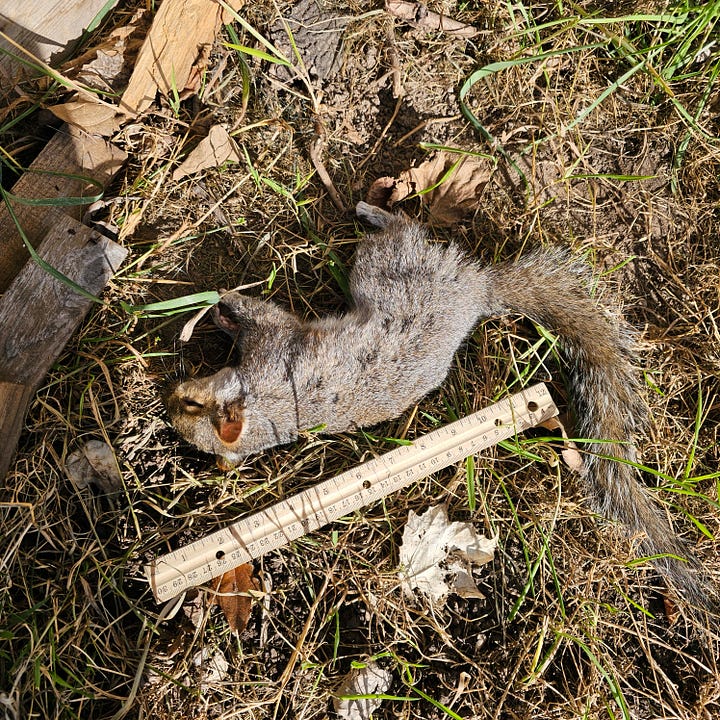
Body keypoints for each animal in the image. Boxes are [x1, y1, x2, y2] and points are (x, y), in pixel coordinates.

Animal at [166, 201, 717, 624]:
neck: (268, 411)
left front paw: (219, 304)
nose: (170, 400)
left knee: (404, 232)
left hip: (384, 269)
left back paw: (374, 210)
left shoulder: (274, 345)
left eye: (194, 404)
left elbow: (261, 315)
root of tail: (476, 294)